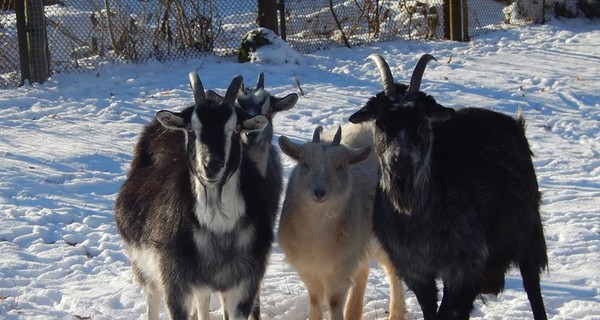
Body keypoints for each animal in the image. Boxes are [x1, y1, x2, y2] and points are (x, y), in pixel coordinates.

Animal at [114, 72, 274, 320]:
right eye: (191, 128)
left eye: (236, 129)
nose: (211, 165)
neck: (217, 224)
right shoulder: (174, 280)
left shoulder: (244, 284)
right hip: (145, 266)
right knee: (152, 299)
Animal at [278, 123, 406, 320]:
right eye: (305, 164)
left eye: (340, 166)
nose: (319, 192)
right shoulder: (308, 267)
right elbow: (315, 298)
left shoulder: (340, 269)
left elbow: (334, 301)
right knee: (362, 271)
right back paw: (353, 312)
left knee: (393, 270)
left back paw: (396, 314)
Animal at [346, 54, 548, 320]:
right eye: (381, 122)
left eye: (421, 121)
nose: (400, 159)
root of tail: (514, 123)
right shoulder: (416, 270)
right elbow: (432, 310)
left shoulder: (465, 266)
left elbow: (453, 311)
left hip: (526, 231)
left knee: (532, 286)